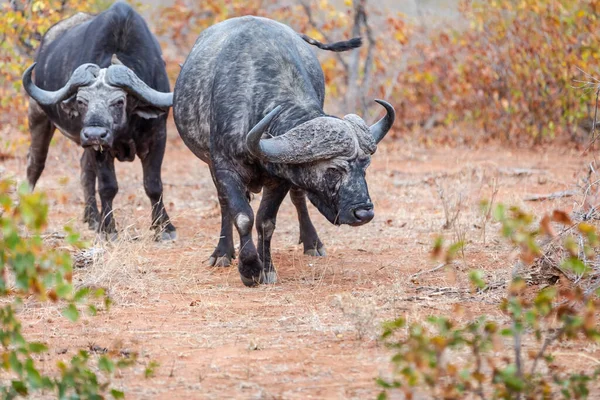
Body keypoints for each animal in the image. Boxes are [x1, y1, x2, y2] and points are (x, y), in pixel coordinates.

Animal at [21, 1, 176, 241]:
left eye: (119, 101)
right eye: (81, 101)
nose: (94, 134)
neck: (125, 129)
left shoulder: (158, 136)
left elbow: (153, 185)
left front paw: (164, 228)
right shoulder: (100, 149)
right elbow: (108, 186)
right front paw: (109, 228)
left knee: (85, 171)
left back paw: (91, 217)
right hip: (37, 115)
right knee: (35, 163)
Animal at [173, 15, 396, 284]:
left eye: (365, 167)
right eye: (333, 169)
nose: (364, 213)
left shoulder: (280, 178)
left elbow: (265, 221)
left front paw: (266, 268)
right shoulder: (224, 167)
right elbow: (243, 217)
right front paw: (249, 268)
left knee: (298, 197)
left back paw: (312, 242)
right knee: (225, 203)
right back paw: (223, 253)